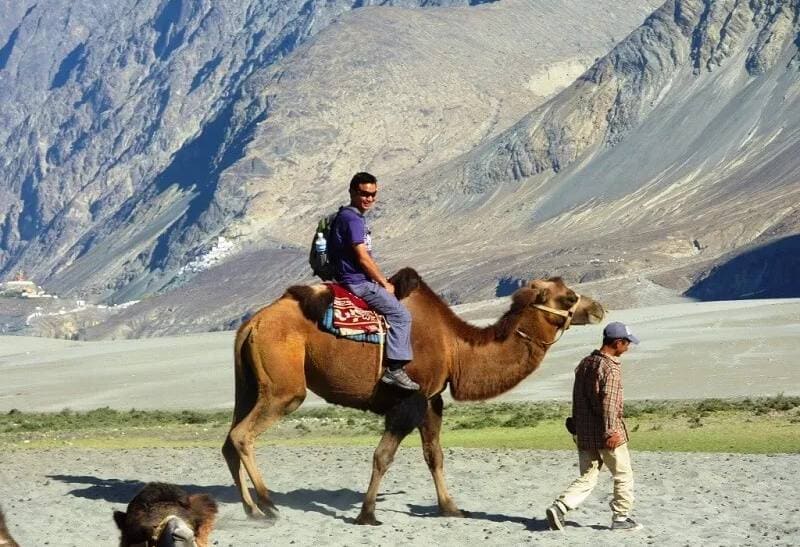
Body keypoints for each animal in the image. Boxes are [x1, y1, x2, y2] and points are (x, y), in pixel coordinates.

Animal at [222, 268, 604, 525]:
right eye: (569, 297)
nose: (598, 308)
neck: (455, 347)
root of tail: (253, 323)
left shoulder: (432, 399)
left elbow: (434, 456)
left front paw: (451, 508)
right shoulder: (410, 398)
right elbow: (383, 456)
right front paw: (367, 514)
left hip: (249, 384)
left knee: (229, 441)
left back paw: (252, 509)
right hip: (285, 389)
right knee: (243, 435)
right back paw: (268, 503)